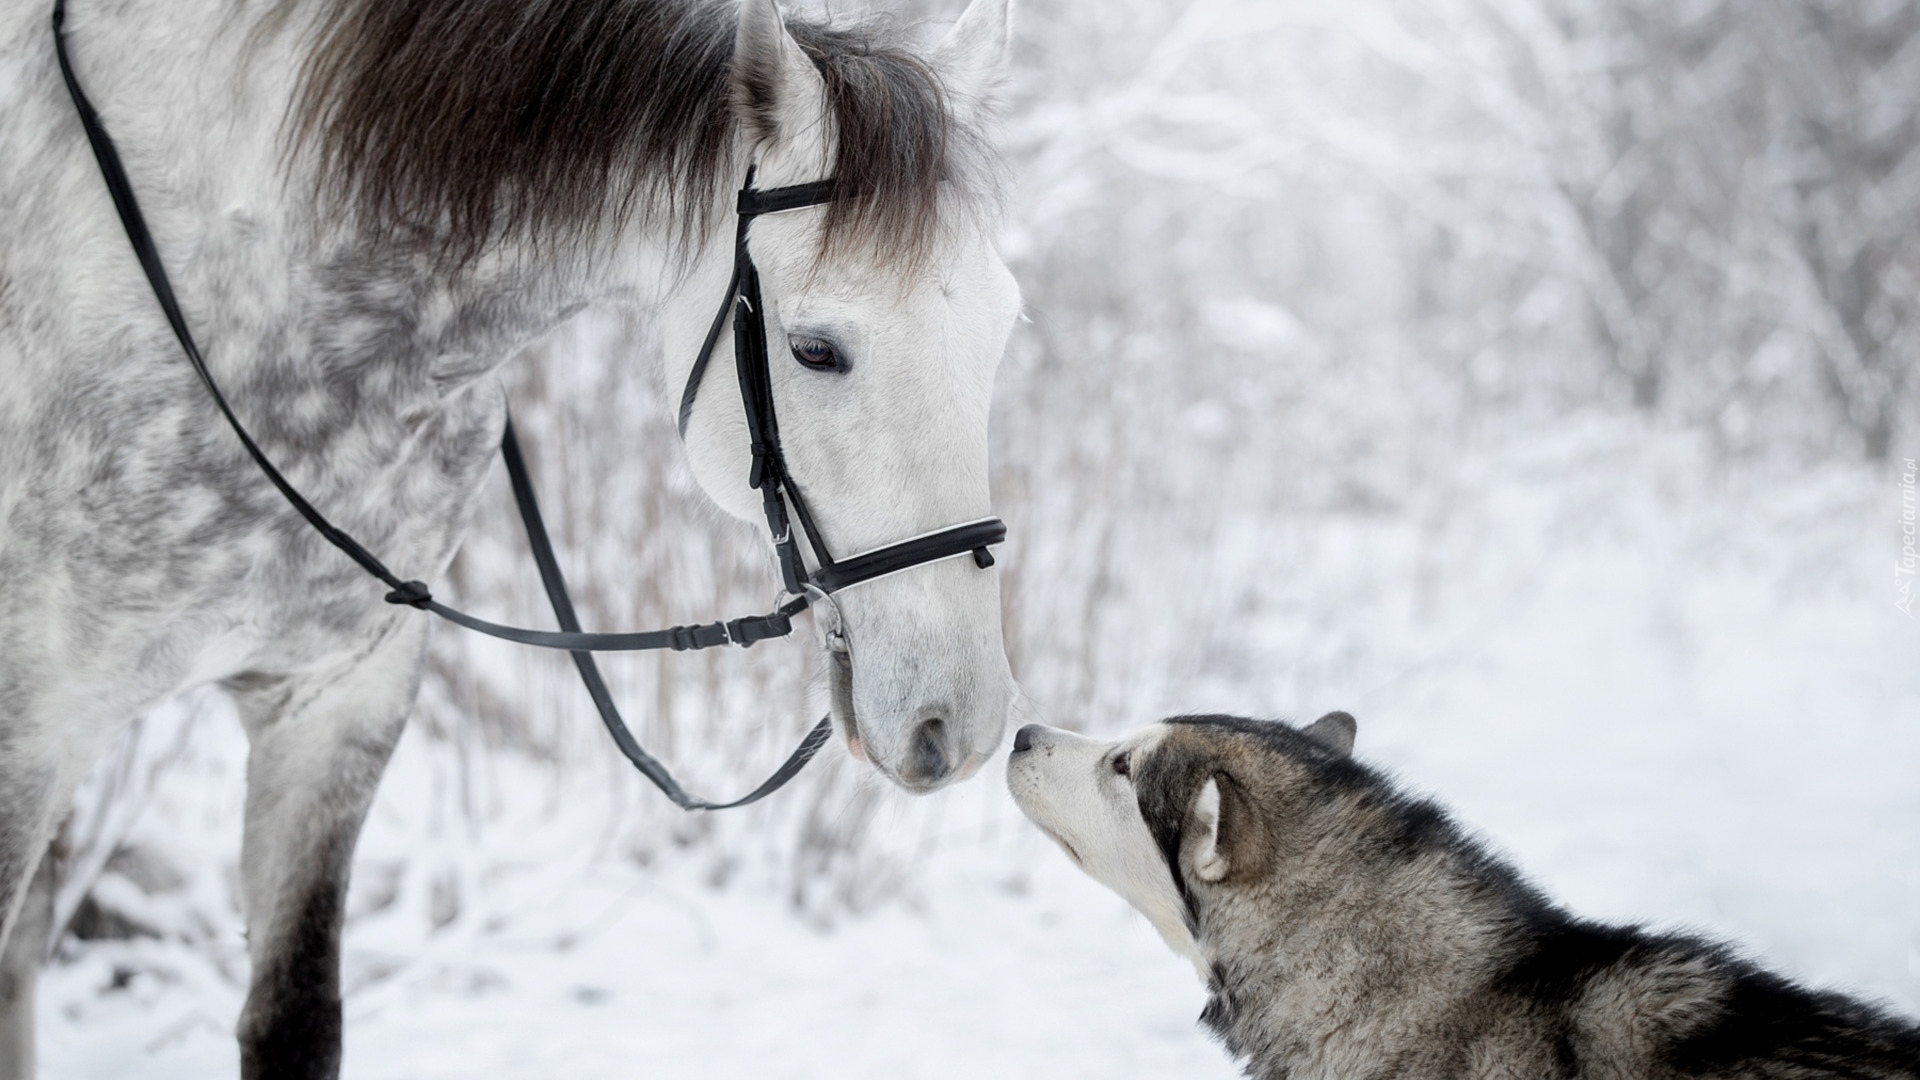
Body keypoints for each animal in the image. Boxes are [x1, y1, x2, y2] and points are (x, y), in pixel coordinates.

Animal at [0, 0, 1021, 1068]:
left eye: (1002, 330)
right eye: (815, 351)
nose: (962, 725)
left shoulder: (332, 707)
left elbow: (294, 1019)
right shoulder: (29, 733)